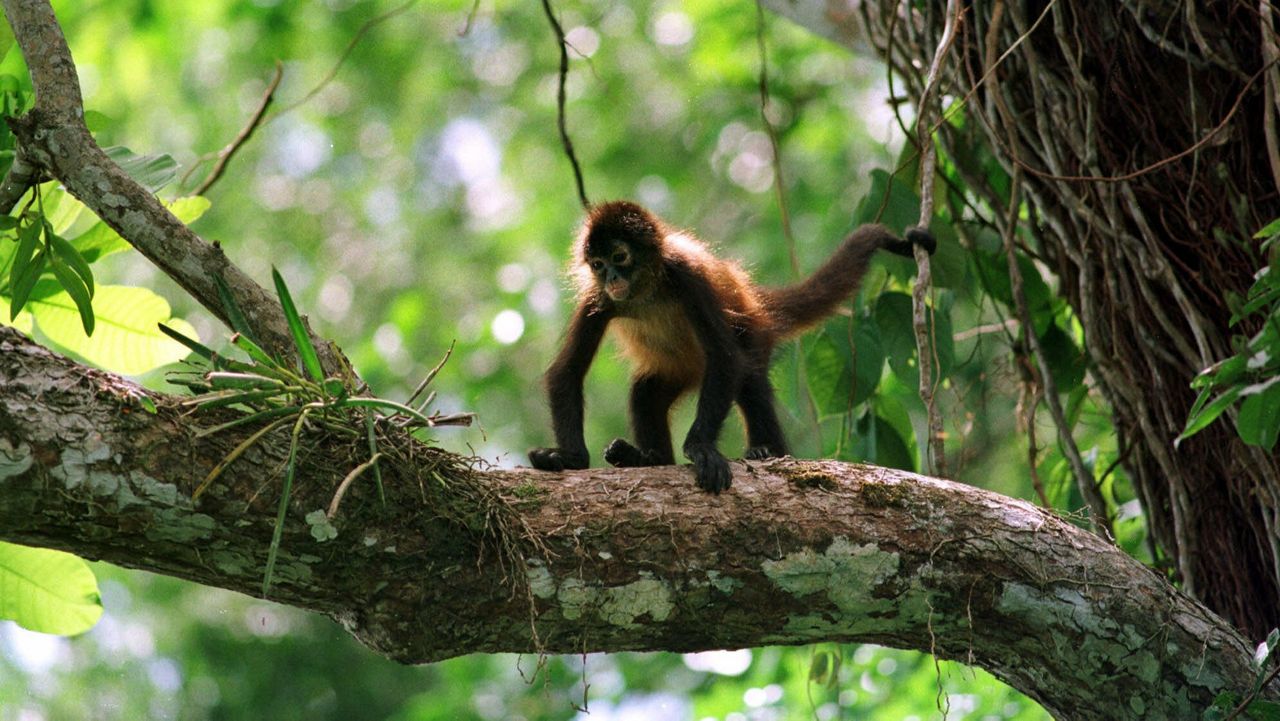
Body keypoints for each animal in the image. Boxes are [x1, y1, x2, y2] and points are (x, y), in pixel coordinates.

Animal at [528, 200, 936, 493]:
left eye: (620, 257)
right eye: (597, 264)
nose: (611, 276)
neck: (646, 292)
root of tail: (757, 305)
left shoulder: (686, 274)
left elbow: (726, 357)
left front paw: (701, 449)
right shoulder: (597, 298)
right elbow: (567, 371)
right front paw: (569, 457)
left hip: (752, 335)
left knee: (748, 374)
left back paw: (768, 451)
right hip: (676, 370)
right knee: (645, 392)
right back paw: (649, 458)